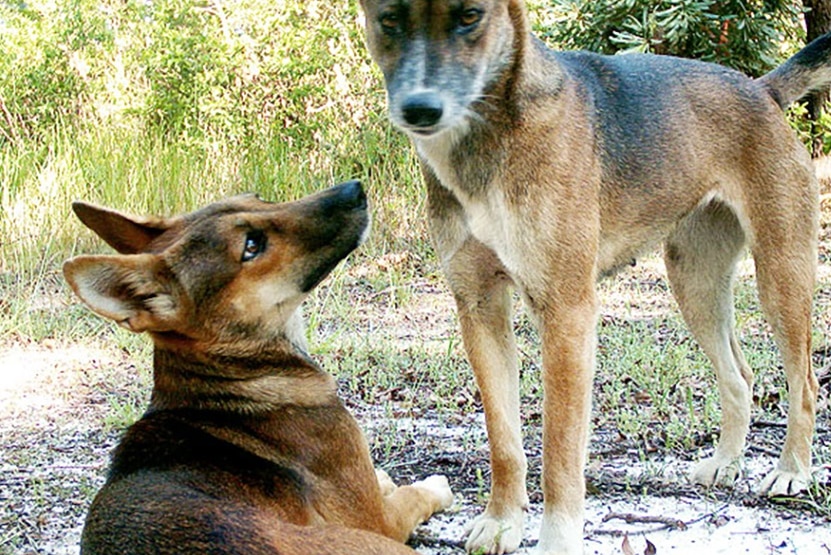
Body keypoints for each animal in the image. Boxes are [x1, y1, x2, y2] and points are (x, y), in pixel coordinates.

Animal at [65, 180, 456, 552]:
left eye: (257, 198)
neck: (235, 377)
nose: (355, 188)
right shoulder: (378, 520)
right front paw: (431, 486)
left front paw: (385, 479)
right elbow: (412, 496)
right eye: (252, 245)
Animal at [360, 2, 828, 552]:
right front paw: (502, 522)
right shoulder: (479, 307)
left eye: (471, 16)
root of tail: (762, 90)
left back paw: (792, 470)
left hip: (781, 276)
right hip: (695, 283)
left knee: (804, 382)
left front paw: (556, 539)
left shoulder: (566, 314)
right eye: (389, 20)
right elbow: (505, 441)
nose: (421, 109)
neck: (492, 136)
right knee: (741, 376)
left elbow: (559, 451)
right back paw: (725, 463)